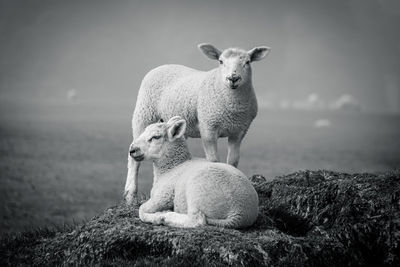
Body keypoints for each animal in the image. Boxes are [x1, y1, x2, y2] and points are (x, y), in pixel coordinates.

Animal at [123, 43, 270, 204]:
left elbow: (233, 161)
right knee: (133, 158)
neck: (232, 106)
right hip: (143, 114)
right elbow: (213, 160)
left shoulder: (239, 131)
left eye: (248, 62)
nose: (233, 78)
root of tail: (162, 66)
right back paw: (130, 196)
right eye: (221, 61)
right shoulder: (208, 128)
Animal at [129, 116, 260, 229]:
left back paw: (166, 216)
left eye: (156, 137)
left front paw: (157, 216)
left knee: (197, 220)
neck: (172, 167)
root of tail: (239, 214)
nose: (132, 150)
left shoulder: (164, 195)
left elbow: (141, 210)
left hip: (196, 191)